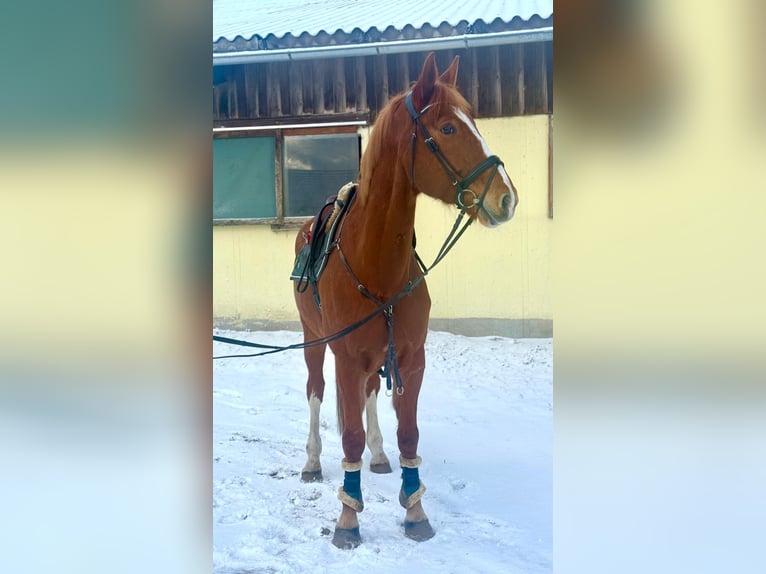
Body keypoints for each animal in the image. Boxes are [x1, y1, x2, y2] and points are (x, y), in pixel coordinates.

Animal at [292, 52, 518, 549]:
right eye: (448, 128)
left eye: (474, 121)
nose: (507, 198)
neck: (376, 263)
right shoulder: (346, 356)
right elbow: (349, 435)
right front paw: (348, 519)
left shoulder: (412, 357)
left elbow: (409, 434)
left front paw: (415, 511)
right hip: (314, 342)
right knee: (316, 393)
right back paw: (313, 461)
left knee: (371, 396)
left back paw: (378, 456)